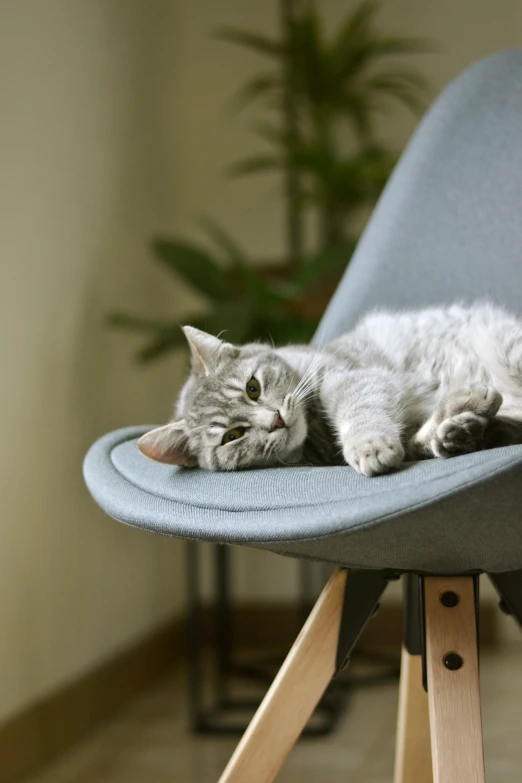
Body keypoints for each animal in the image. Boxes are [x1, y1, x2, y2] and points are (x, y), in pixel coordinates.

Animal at [137, 304, 522, 474]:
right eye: (233, 436)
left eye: (252, 388)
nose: (275, 420)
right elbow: (417, 440)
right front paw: (458, 418)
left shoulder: (351, 376)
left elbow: (360, 412)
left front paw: (369, 444)